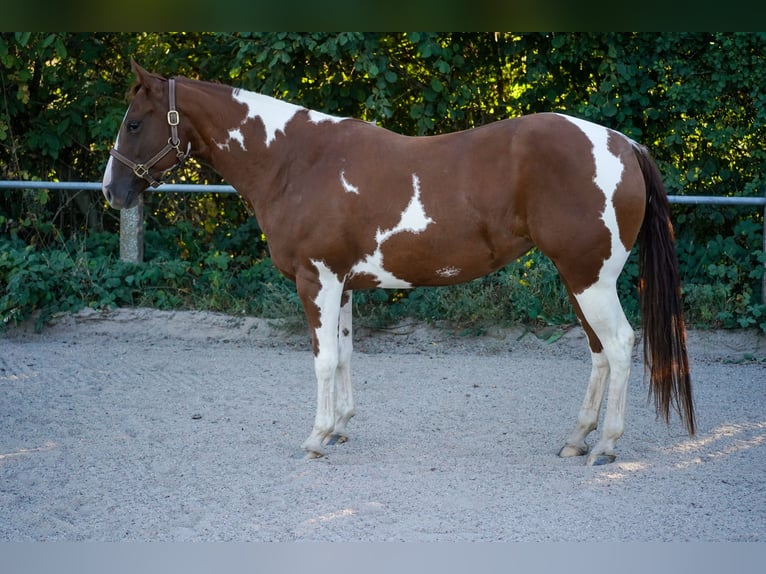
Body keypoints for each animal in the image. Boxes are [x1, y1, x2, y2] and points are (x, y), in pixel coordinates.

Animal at [102, 60, 695, 466]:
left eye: (134, 123)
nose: (112, 191)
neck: (295, 161)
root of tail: (624, 143)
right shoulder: (340, 284)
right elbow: (344, 355)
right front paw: (340, 427)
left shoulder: (315, 280)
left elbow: (322, 360)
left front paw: (315, 438)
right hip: (579, 279)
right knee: (598, 352)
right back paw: (577, 439)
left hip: (590, 277)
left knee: (619, 345)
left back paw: (606, 446)